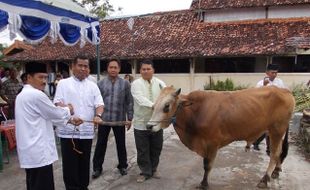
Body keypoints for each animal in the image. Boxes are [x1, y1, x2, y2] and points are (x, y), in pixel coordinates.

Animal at [147, 86, 294, 190]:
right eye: (153, 106)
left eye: (167, 106)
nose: (149, 126)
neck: (196, 111)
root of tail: (285, 91)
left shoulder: (212, 143)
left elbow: (207, 165)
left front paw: (204, 183)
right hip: (274, 132)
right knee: (279, 152)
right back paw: (276, 172)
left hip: (277, 130)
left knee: (274, 154)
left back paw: (264, 180)